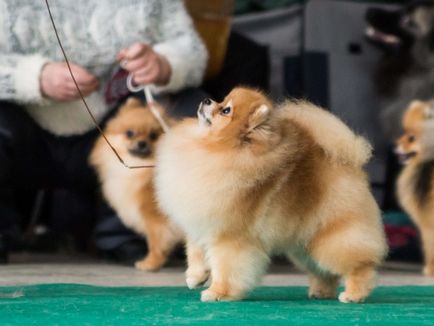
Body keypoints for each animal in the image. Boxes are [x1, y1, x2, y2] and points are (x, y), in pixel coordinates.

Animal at [90, 98, 181, 272]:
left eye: (153, 136)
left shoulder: (155, 218)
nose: (142, 143)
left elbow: (156, 242)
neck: (141, 169)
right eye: (130, 133)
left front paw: (151, 263)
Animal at [155, 86, 386, 304]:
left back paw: (354, 294)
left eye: (225, 110)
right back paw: (321, 292)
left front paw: (218, 292)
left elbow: (226, 266)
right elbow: (195, 251)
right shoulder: (202, 220)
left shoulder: (230, 235)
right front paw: (195, 277)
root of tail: (349, 164)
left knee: (359, 264)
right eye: (222, 100)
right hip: (306, 244)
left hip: (334, 236)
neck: (216, 149)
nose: (206, 100)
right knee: (324, 270)